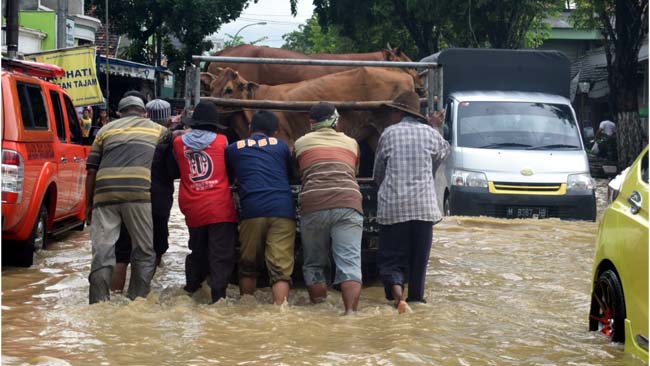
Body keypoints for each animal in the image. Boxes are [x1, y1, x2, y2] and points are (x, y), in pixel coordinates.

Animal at [208, 66, 416, 155]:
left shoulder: (286, 141)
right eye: (211, 86)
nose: (210, 104)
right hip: (373, 134)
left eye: (228, 90)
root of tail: (404, 75)